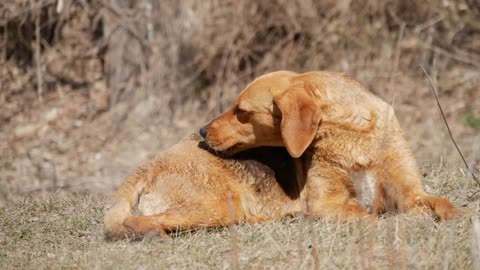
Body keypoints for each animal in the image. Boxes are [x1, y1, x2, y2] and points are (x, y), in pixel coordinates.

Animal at [200, 70, 462, 220]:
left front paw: (460, 214)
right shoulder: (326, 204)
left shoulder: (410, 193)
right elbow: (364, 215)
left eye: (241, 111)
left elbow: (443, 202)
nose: (202, 131)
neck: (353, 136)